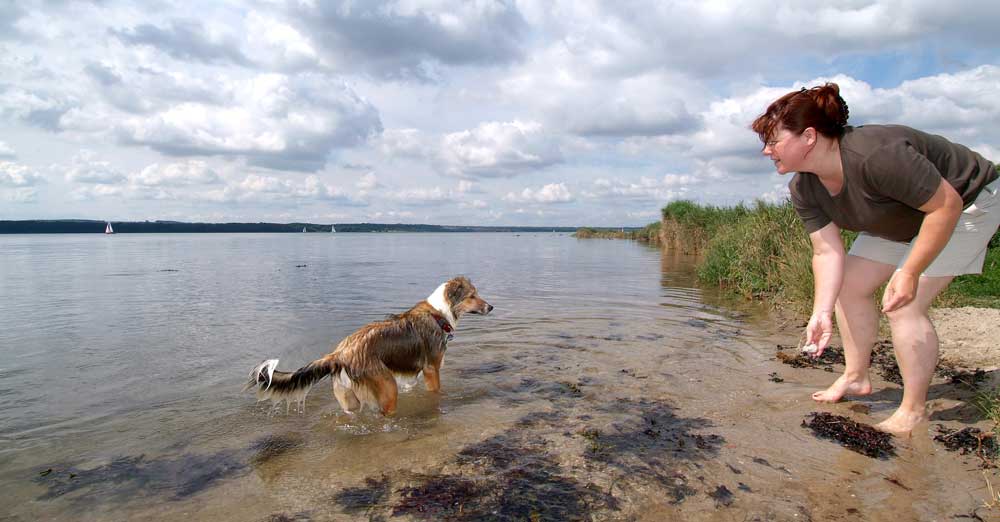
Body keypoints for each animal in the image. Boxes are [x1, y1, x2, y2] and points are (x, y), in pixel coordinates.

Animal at [244, 276, 490, 414]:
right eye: (472, 295)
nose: (491, 307)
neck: (438, 313)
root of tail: (339, 353)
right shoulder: (431, 369)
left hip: (349, 398)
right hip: (388, 386)